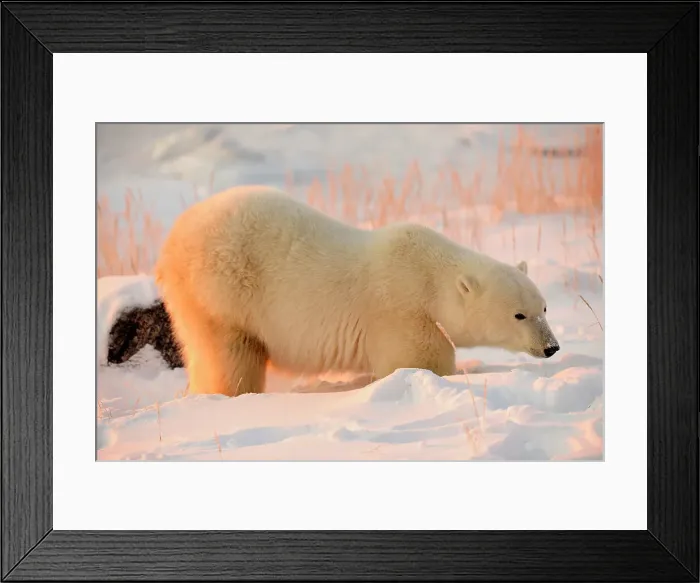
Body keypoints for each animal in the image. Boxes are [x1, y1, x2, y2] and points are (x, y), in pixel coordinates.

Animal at [154, 185, 559, 397]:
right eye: (518, 314)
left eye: (544, 308)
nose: (551, 347)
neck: (428, 273)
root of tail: (173, 238)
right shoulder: (399, 310)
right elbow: (420, 359)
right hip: (222, 293)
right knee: (231, 356)